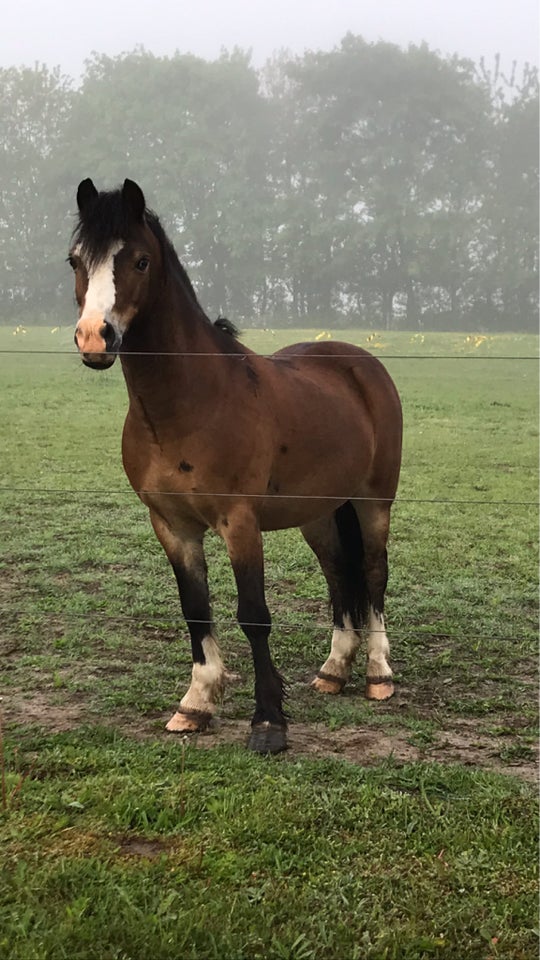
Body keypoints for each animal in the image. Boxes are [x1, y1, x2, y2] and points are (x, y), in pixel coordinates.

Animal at [69, 176, 402, 752]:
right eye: (75, 260)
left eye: (139, 261)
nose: (96, 338)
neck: (193, 402)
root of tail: (361, 363)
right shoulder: (172, 526)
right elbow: (195, 609)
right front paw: (196, 703)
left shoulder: (239, 522)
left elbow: (254, 615)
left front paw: (268, 722)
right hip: (318, 513)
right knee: (338, 572)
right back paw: (334, 670)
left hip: (372, 502)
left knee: (374, 574)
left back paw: (378, 675)